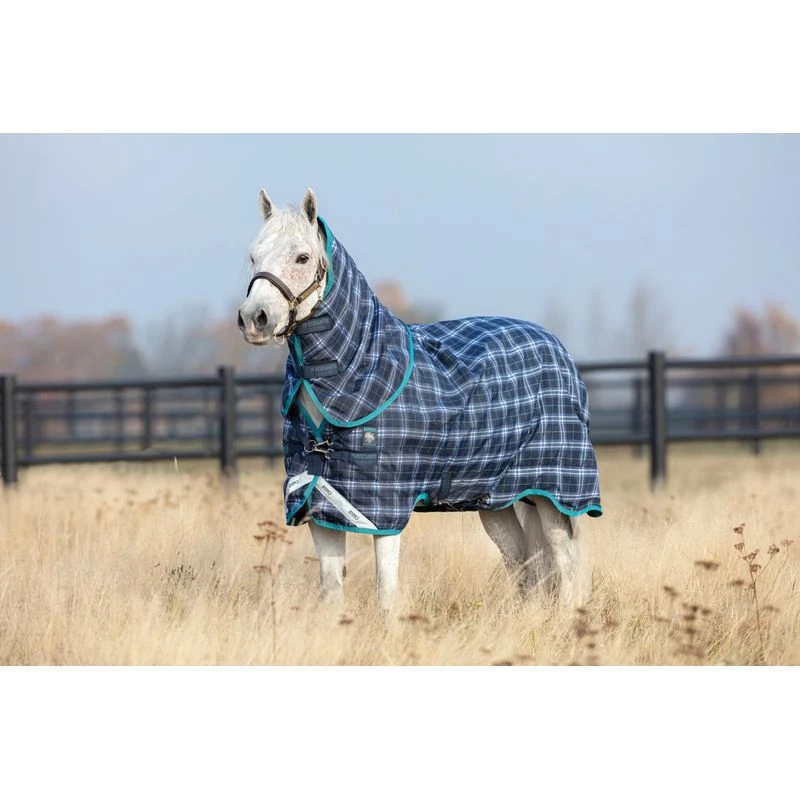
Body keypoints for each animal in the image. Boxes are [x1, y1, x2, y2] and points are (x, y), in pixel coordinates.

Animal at [237, 188, 602, 614]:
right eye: (253, 256)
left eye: (302, 257)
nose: (255, 319)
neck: (360, 367)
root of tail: (556, 347)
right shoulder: (317, 499)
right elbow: (331, 588)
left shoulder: (383, 508)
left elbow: (385, 590)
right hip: (496, 500)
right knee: (523, 563)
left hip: (552, 495)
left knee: (565, 563)